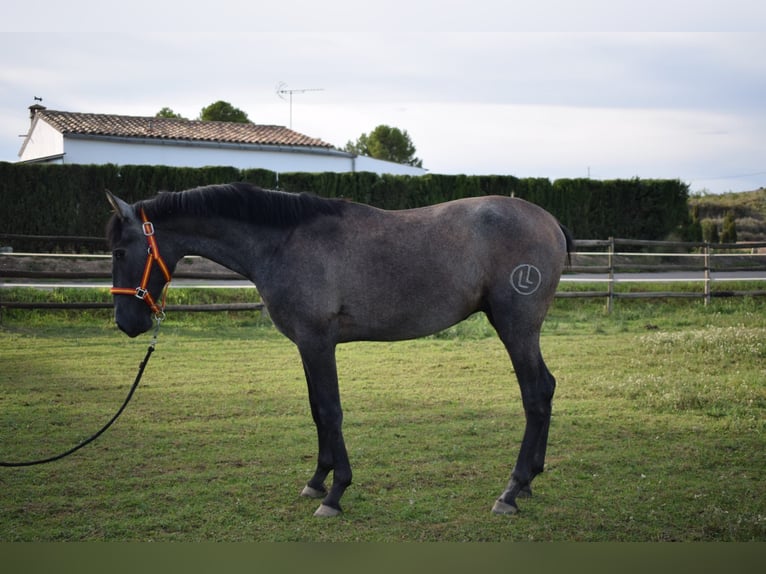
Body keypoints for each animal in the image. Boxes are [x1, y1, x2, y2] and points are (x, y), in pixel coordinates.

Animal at [108, 182, 576, 520]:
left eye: (119, 250)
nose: (127, 322)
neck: (284, 242)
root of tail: (551, 222)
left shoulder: (318, 342)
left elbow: (331, 412)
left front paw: (334, 494)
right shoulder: (306, 345)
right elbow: (317, 410)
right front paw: (317, 479)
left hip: (516, 327)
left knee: (536, 394)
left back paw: (511, 491)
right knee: (547, 389)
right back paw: (528, 483)